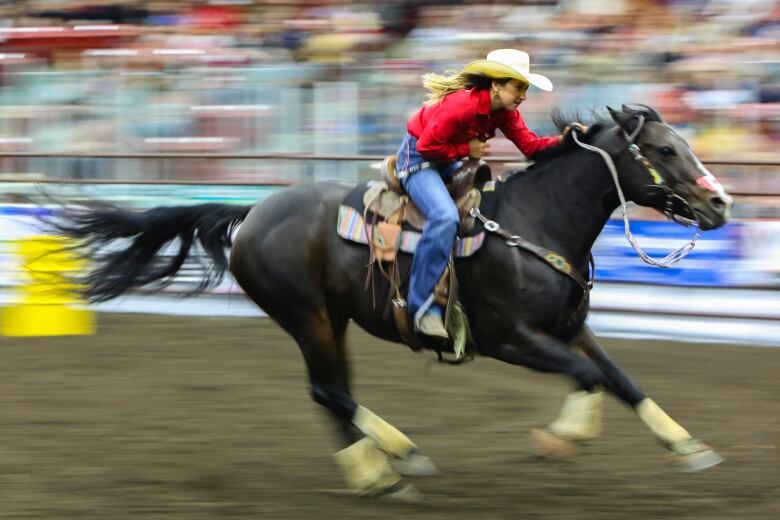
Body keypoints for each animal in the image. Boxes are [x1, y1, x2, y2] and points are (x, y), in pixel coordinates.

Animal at [50, 103, 732, 498]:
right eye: (665, 150)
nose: (721, 202)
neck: (533, 224)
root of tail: (253, 213)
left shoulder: (570, 327)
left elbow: (621, 379)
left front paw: (688, 447)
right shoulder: (512, 340)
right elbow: (588, 378)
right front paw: (560, 441)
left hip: (334, 318)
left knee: (332, 392)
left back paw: (383, 469)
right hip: (306, 315)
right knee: (329, 390)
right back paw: (395, 463)